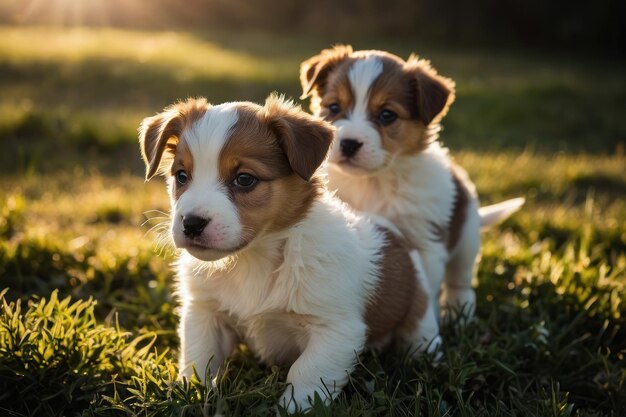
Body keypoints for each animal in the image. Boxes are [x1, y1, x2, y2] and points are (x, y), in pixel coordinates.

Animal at [138, 95, 438, 412]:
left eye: (244, 179)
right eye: (181, 176)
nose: (192, 223)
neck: (252, 259)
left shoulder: (334, 330)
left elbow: (306, 373)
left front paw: (293, 408)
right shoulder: (205, 314)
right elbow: (199, 359)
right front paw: (192, 394)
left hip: (419, 316)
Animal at [300, 45, 524, 318]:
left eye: (387, 115)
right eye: (333, 107)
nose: (349, 144)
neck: (371, 183)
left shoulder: (426, 242)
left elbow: (423, 288)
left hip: (467, 237)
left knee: (460, 280)